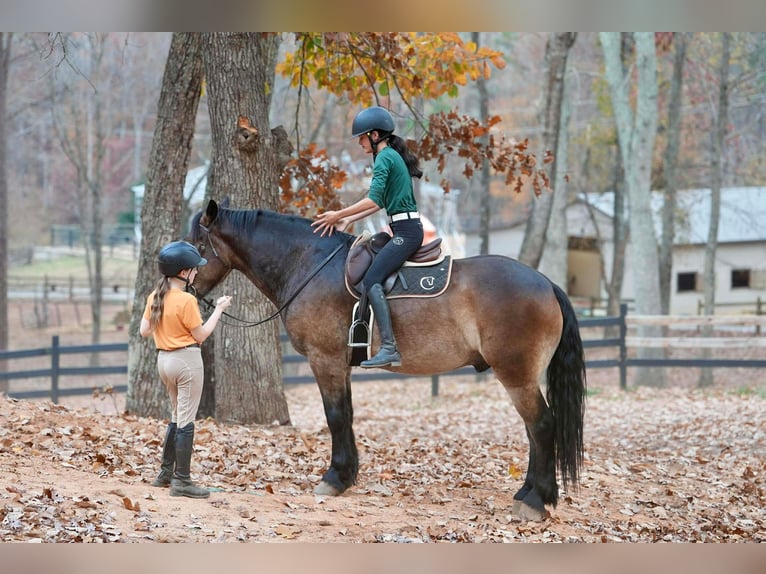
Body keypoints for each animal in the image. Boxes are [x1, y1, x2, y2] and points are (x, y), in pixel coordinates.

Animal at [187, 199, 586, 521]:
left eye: (199, 246)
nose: (184, 288)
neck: (308, 263)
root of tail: (545, 283)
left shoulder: (325, 360)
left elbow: (335, 417)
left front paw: (334, 479)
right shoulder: (341, 366)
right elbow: (346, 416)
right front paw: (346, 476)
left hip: (517, 375)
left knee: (541, 426)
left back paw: (535, 501)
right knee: (534, 430)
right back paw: (529, 493)